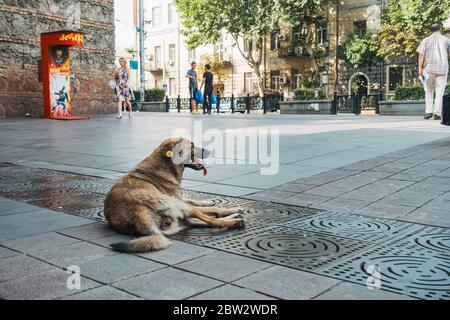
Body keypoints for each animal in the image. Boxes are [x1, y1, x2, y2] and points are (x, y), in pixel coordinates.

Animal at [103, 138, 244, 252]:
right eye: (192, 146)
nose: (210, 151)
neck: (166, 165)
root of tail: (137, 214)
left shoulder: (180, 197)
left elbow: (194, 200)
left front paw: (208, 201)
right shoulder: (179, 200)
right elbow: (213, 208)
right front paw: (230, 208)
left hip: (179, 217)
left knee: (200, 222)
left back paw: (235, 217)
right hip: (178, 206)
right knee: (209, 219)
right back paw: (235, 221)